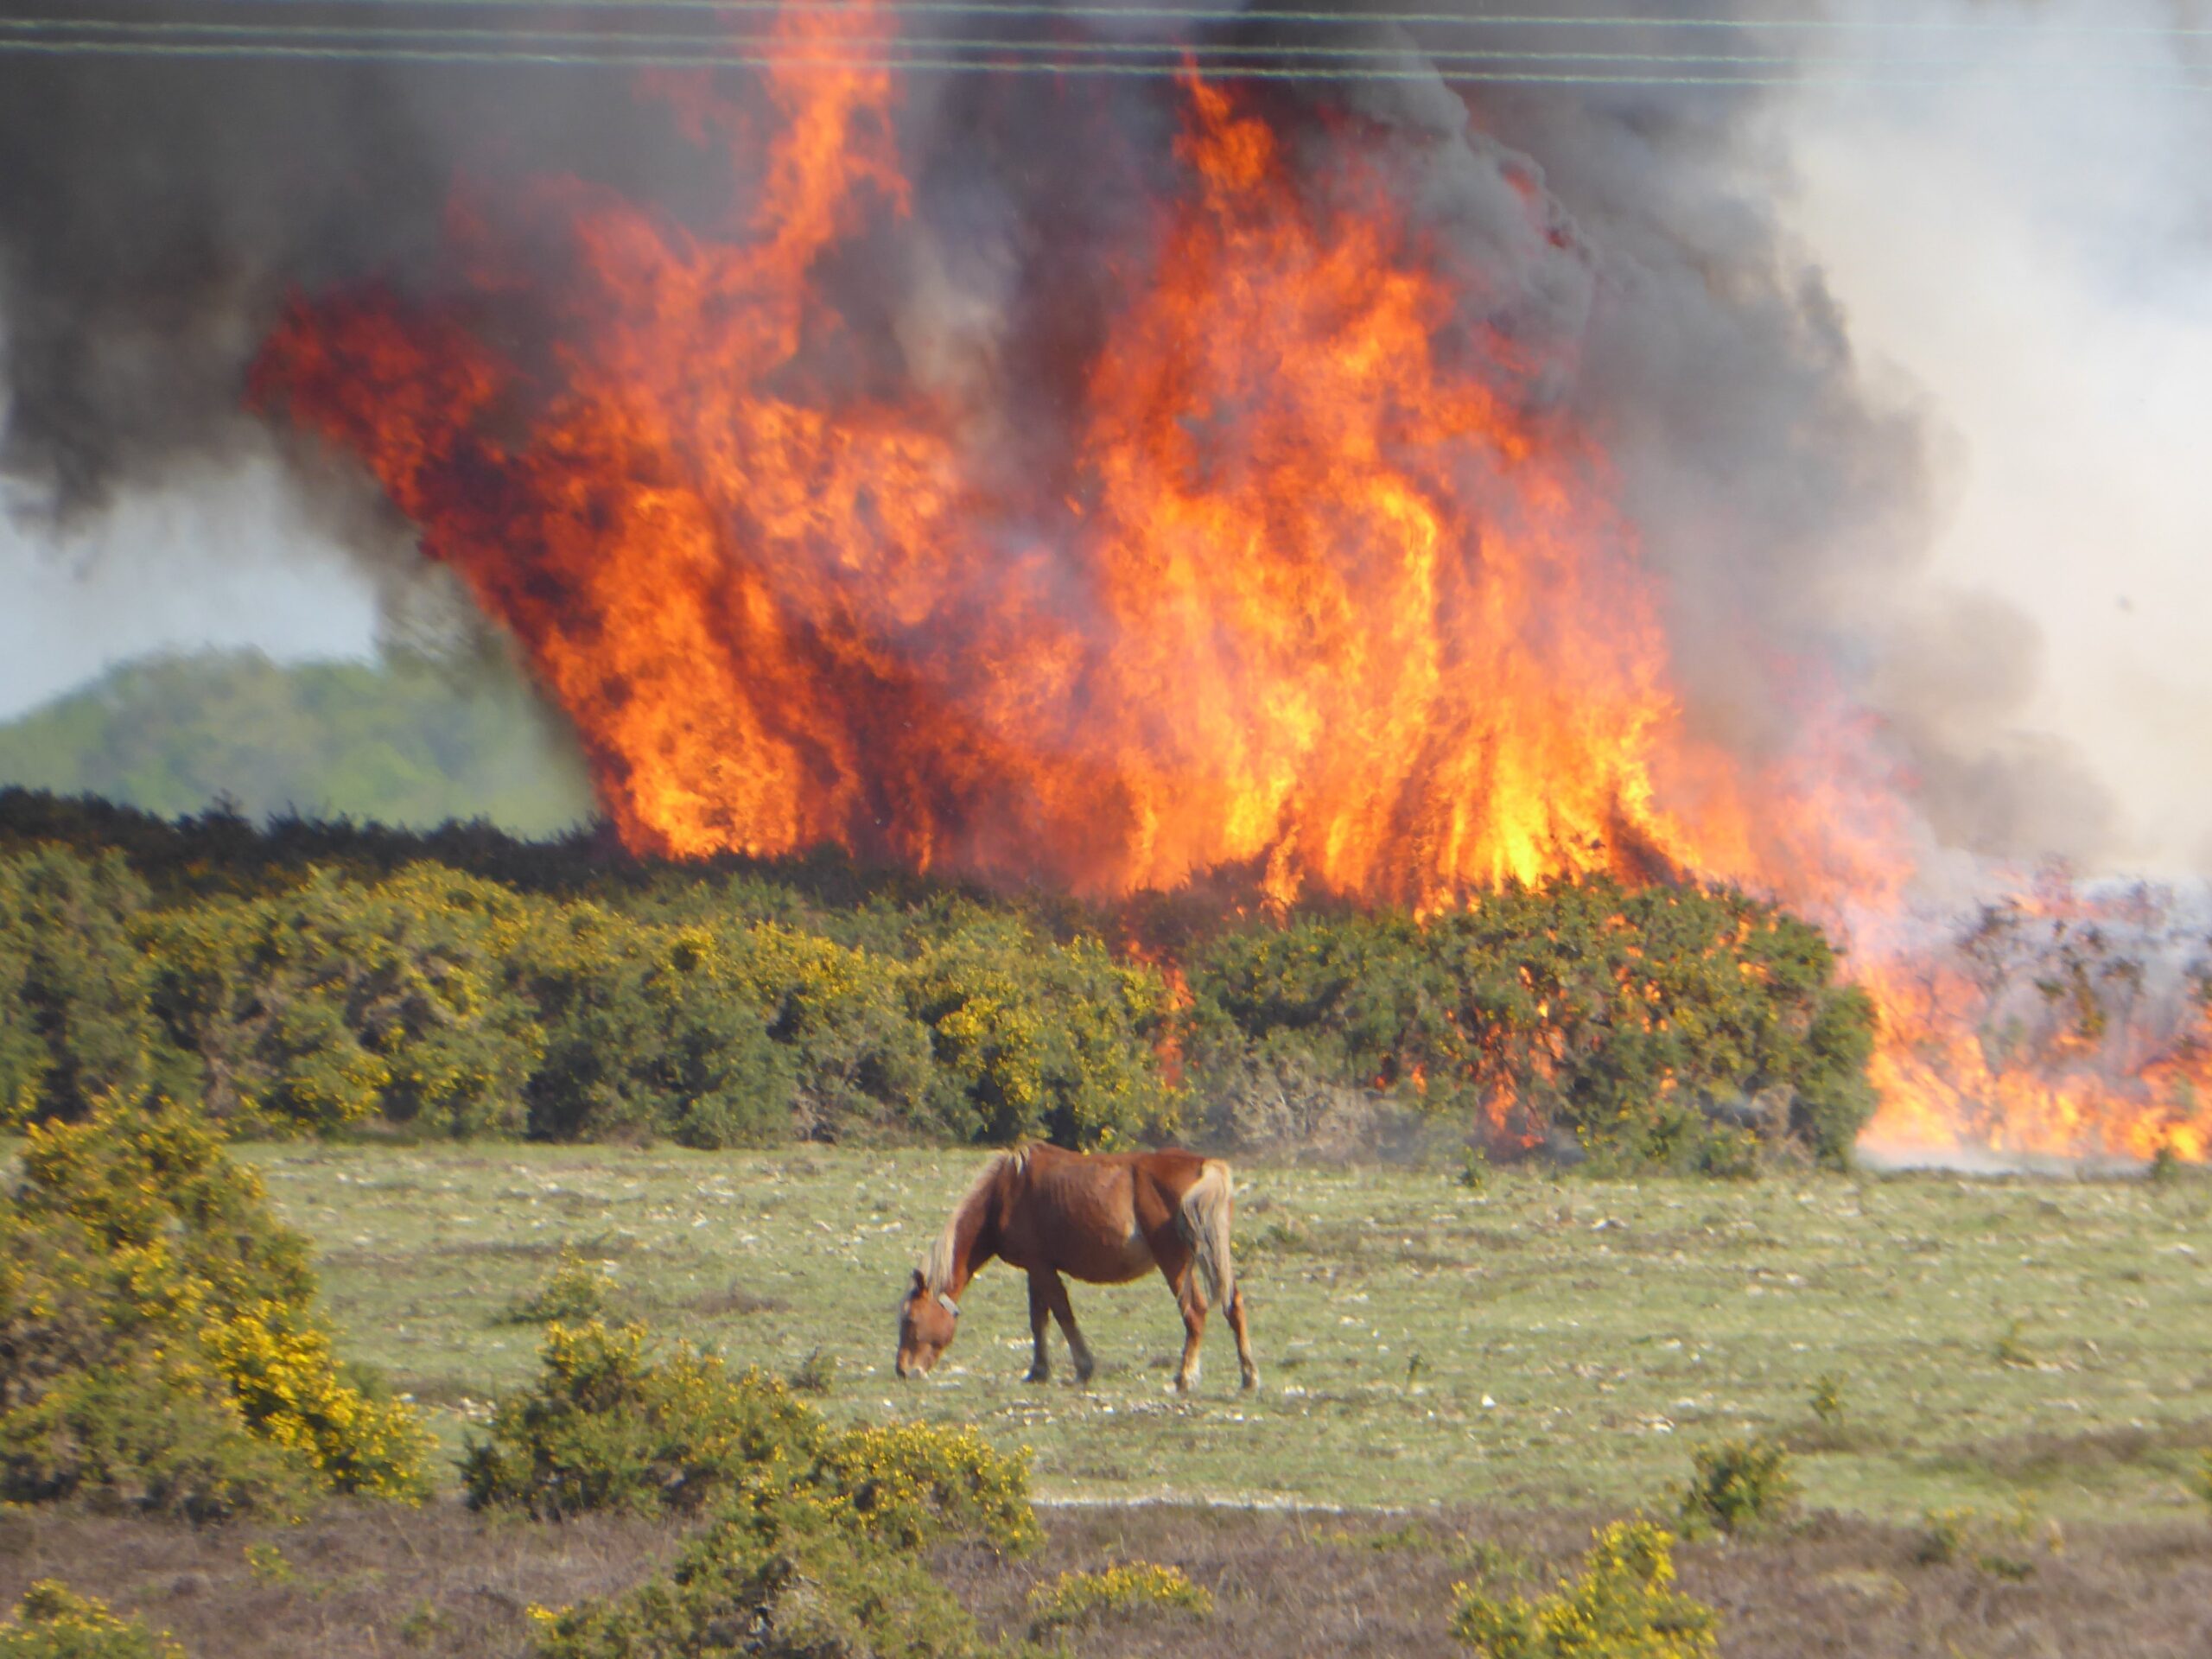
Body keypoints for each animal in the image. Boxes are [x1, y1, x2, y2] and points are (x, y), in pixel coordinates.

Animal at [894, 1142, 1258, 1393]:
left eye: (910, 1320)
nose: (903, 1371)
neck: (1005, 1191)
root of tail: (1204, 1165)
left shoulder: (1041, 1268)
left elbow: (1061, 1314)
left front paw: (1083, 1367)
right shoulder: (1035, 1270)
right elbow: (1038, 1320)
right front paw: (1038, 1370)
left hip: (1176, 1264)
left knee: (1195, 1311)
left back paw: (1185, 1377)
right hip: (1211, 1256)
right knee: (1233, 1304)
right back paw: (1248, 1376)